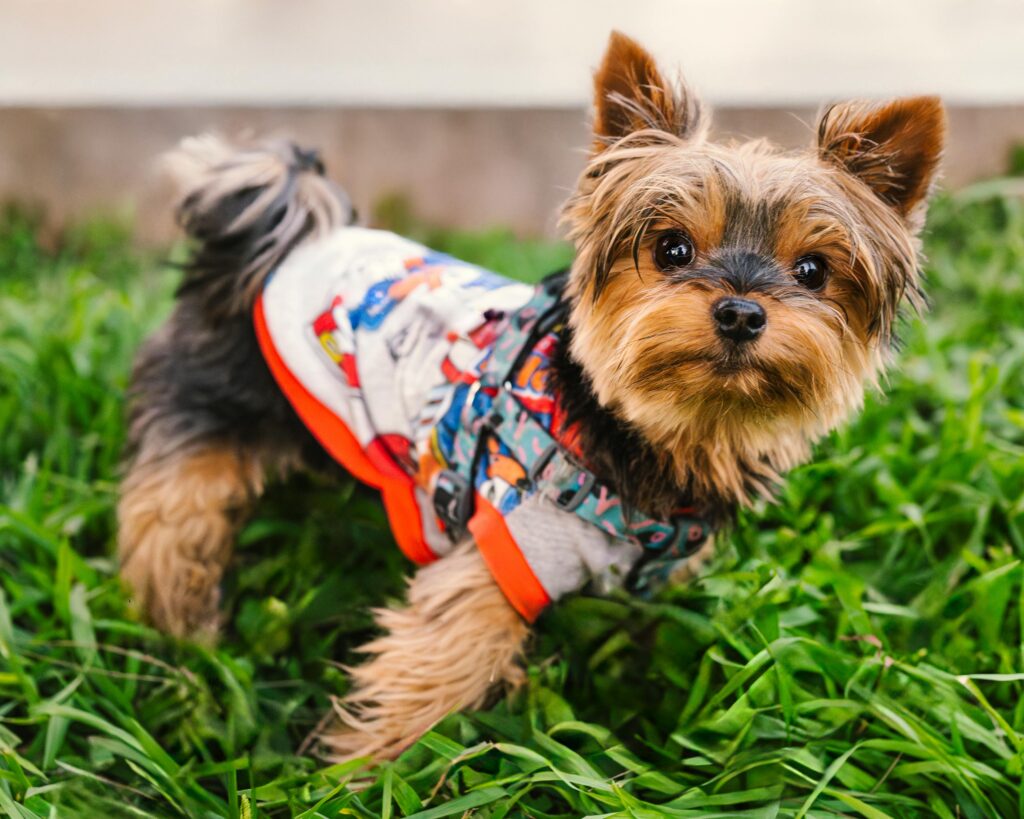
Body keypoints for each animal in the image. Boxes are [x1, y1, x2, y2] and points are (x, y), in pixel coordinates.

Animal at [117, 31, 942, 761]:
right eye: (671, 249)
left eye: (812, 271)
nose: (741, 311)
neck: (655, 438)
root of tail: (274, 241)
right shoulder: (504, 549)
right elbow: (432, 670)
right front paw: (350, 775)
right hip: (215, 406)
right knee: (170, 520)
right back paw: (181, 630)